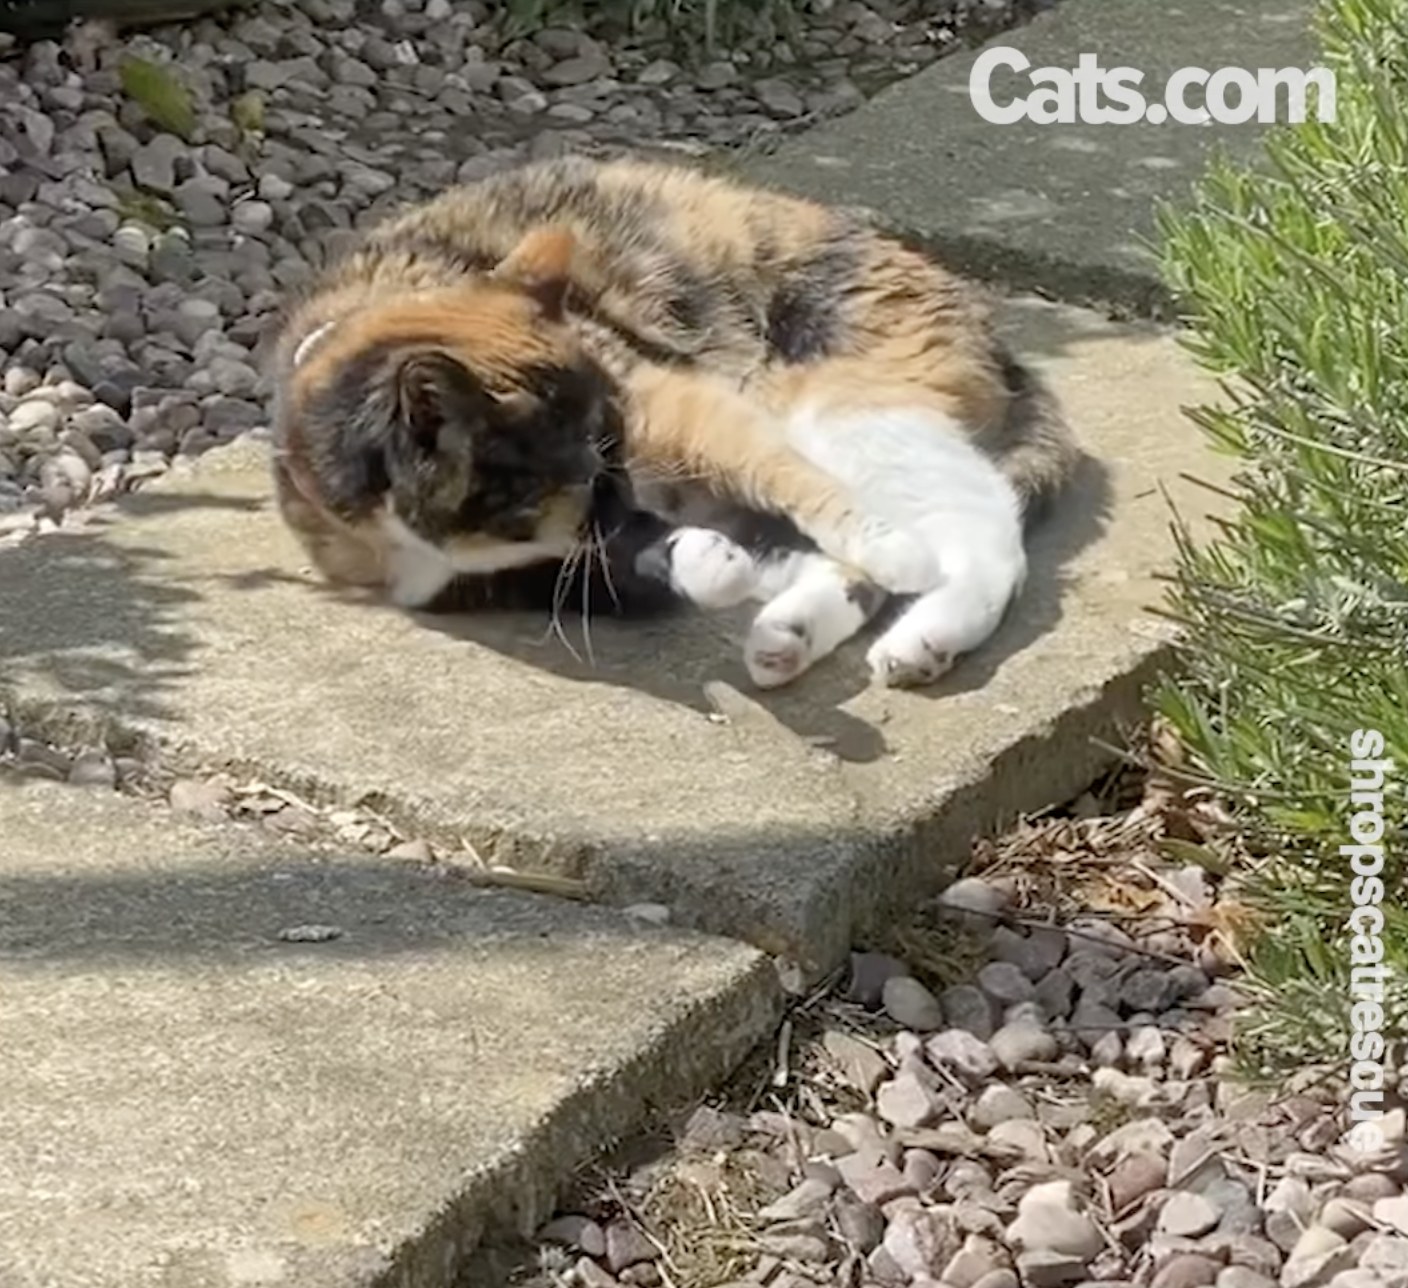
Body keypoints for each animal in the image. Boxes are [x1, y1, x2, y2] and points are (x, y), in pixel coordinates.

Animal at [268, 157, 1070, 689]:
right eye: (579, 475)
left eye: (615, 441)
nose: (626, 491)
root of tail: (980, 317)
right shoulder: (489, 580)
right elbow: (642, 571)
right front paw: (728, 568)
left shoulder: (675, 400)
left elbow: (783, 478)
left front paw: (877, 550)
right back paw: (788, 635)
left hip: (847, 405)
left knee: (983, 526)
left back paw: (924, 633)